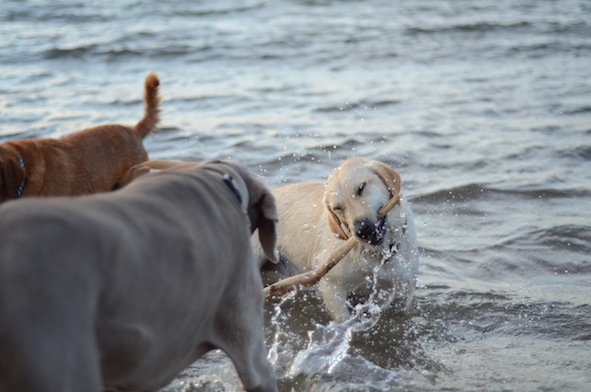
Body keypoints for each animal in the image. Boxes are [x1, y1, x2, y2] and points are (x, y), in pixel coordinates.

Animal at [262, 157, 418, 322]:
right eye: (337, 208)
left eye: (361, 188)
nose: (362, 231)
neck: (378, 255)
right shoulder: (331, 285)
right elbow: (343, 318)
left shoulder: (403, 290)